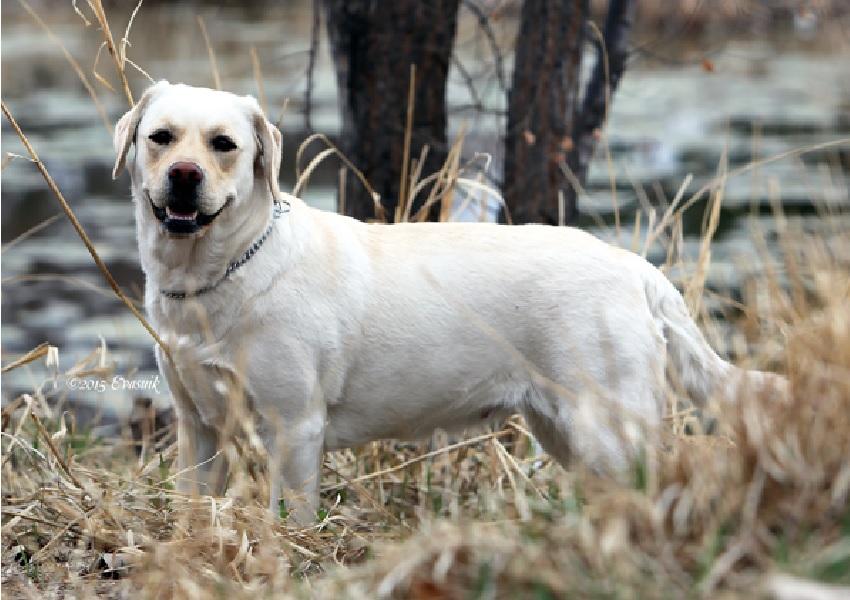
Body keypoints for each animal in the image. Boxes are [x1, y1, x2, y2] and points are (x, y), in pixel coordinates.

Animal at [116, 82, 784, 524]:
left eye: (224, 144)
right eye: (161, 138)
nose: (183, 174)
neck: (214, 274)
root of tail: (637, 268)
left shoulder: (294, 426)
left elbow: (291, 518)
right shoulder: (199, 425)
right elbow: (192, 504)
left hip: (608, 426)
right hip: (565, 429)